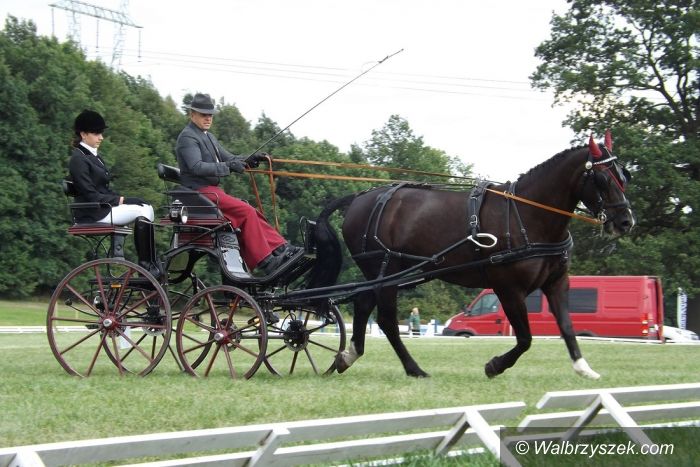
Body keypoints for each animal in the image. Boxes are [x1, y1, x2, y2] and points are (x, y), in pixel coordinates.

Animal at [308, 132, 634, 379]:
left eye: (624, 176)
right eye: (602, 179)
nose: (625, 222)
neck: (528, 215)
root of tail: (361, 197)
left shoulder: (556, 283)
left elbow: (567, 328)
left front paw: (583, 368)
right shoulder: (508, 288)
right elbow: (525, 338)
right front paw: (495, 366)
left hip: (379, 274)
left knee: (364, 304)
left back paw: (347, 356)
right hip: (386, 272)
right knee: (387, 320)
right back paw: (414, 369)